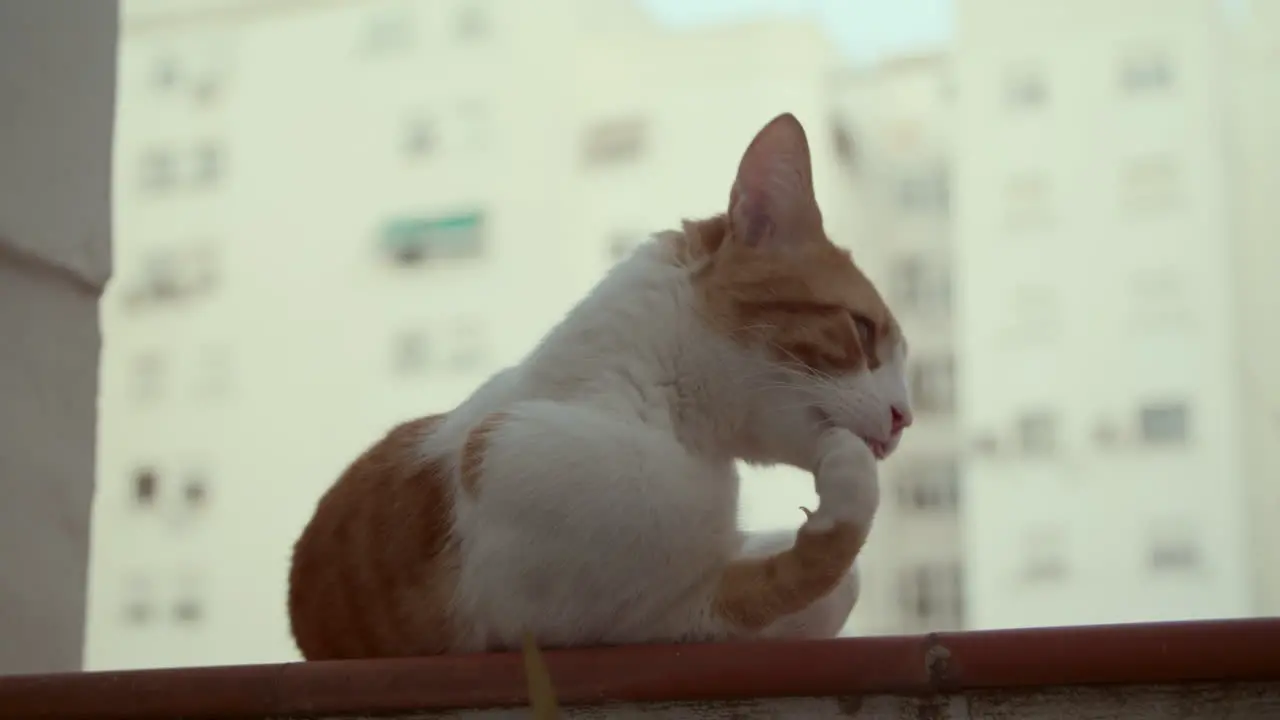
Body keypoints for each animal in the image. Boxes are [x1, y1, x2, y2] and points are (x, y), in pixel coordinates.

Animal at [288, 110, 911, 655]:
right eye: (861, 330)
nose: (905, 417)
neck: (675, 427)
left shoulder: (677, 613)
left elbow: (827, 587)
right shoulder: (578, 620)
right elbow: (817, 566)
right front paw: (848, 479)